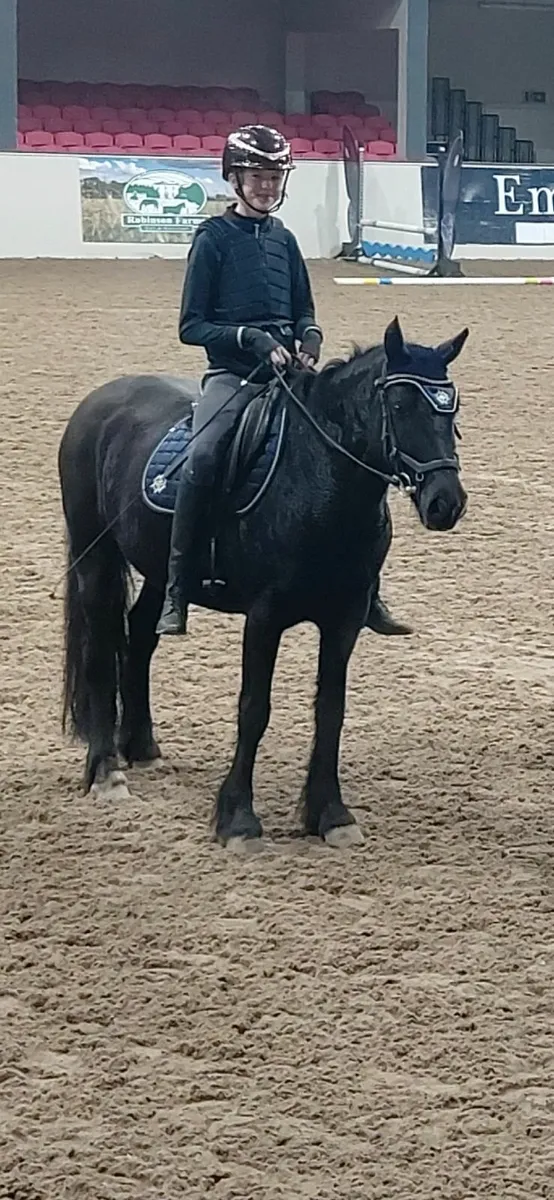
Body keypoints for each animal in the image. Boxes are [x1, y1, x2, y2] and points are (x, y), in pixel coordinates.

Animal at [58, 315, 469, 852]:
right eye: (399, 405)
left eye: (452, 406)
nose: (446, 502)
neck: (317, 481)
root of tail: (97, 401)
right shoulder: (265, 616)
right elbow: (254, 709)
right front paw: (238, 820)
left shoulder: (344, 619)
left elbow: (331, 710)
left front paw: (331, 815)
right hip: (97, 558)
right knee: (101, 650)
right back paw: (107, 773)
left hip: (161, 570)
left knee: (142, 634)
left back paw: (142, 746)